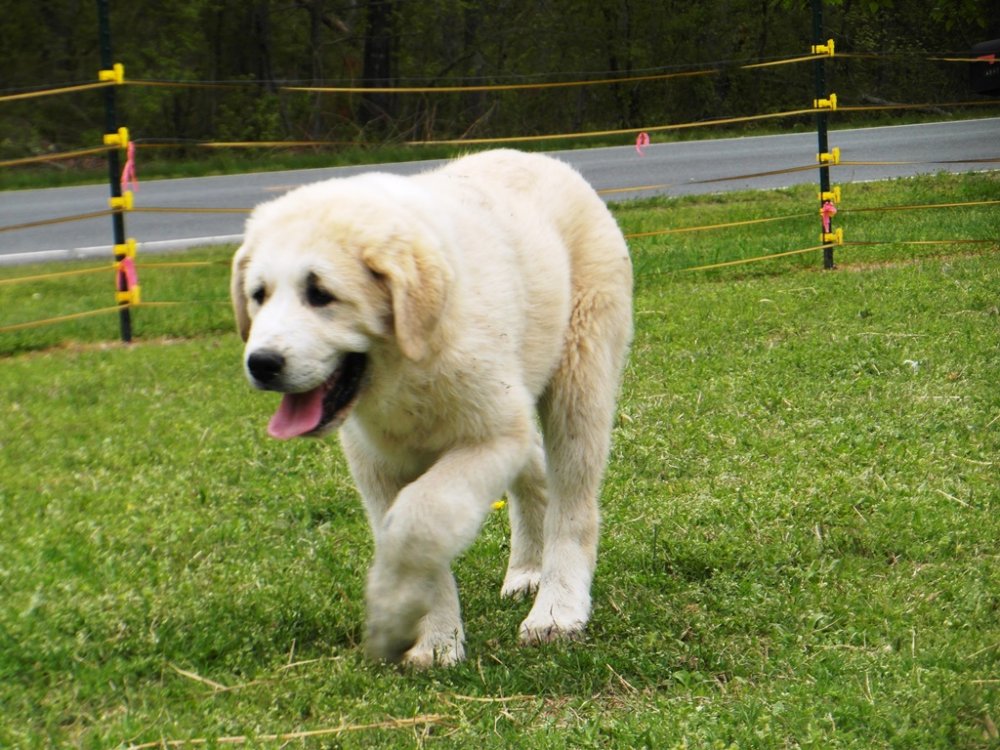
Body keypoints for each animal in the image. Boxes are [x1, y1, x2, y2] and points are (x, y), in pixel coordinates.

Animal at [230, 150, 628, 668]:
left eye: (320, 294)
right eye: (258, 294)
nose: (261, 363)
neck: (405, 366)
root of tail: (543, 159)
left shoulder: (492, 435)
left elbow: (420, 520)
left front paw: (393, 614)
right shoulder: (376, 462)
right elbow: (413, 536)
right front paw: (435, 642)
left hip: (580, 372)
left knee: (573, 501)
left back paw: (557, 611)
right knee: (537, 473)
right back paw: (526, 572)